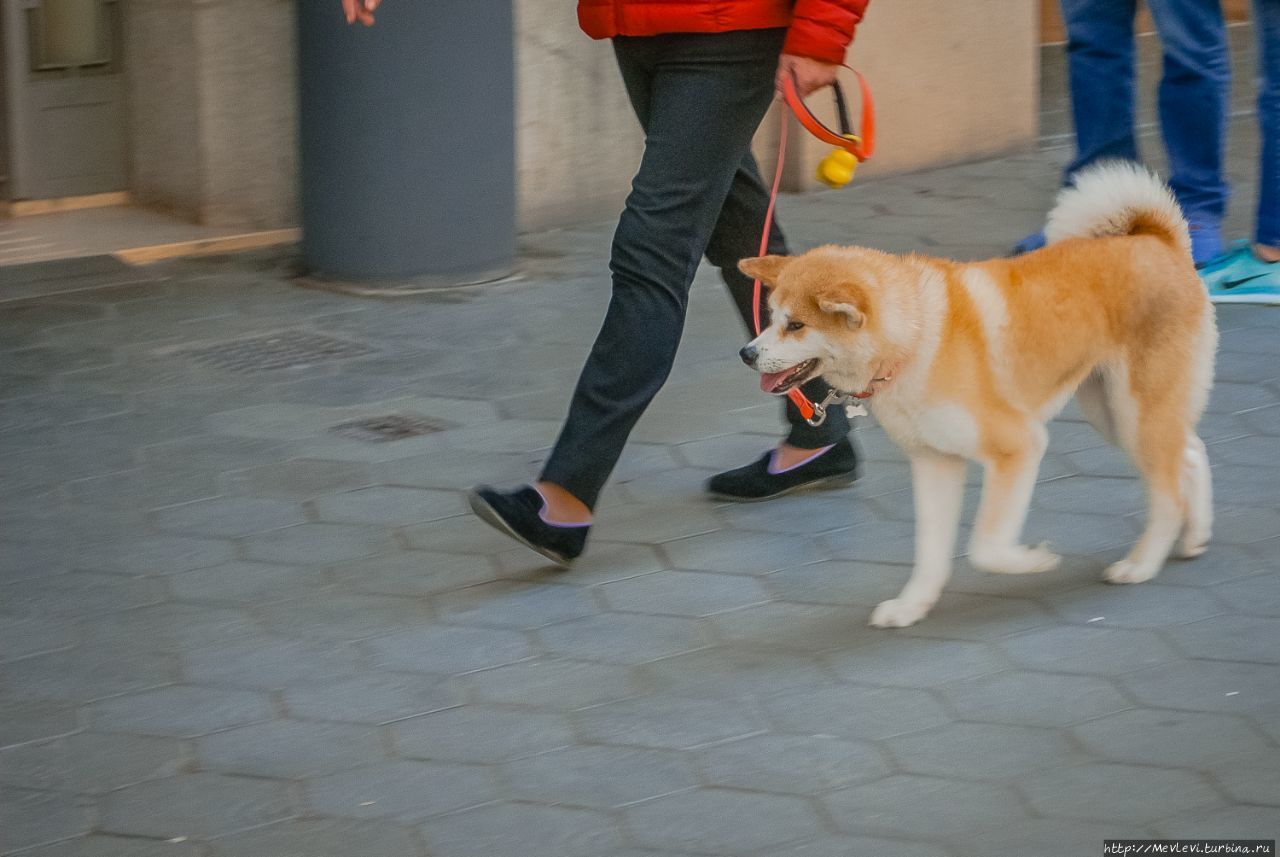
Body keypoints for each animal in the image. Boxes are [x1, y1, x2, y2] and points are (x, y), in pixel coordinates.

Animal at [737, 163, 1213, 631]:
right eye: (770, 318)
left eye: (796, 325)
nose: (747, 354)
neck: (915, 340)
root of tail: (1158, 240)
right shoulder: (934, 462)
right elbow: (930, 553)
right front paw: (911, 606)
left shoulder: (1018, 446)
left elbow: (987, 546)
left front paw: (1033, 560)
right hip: (1114, 414)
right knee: (1188, 453)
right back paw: (1194, 537)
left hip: (1135, 411)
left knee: (1168, 490)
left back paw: (1142, 564)